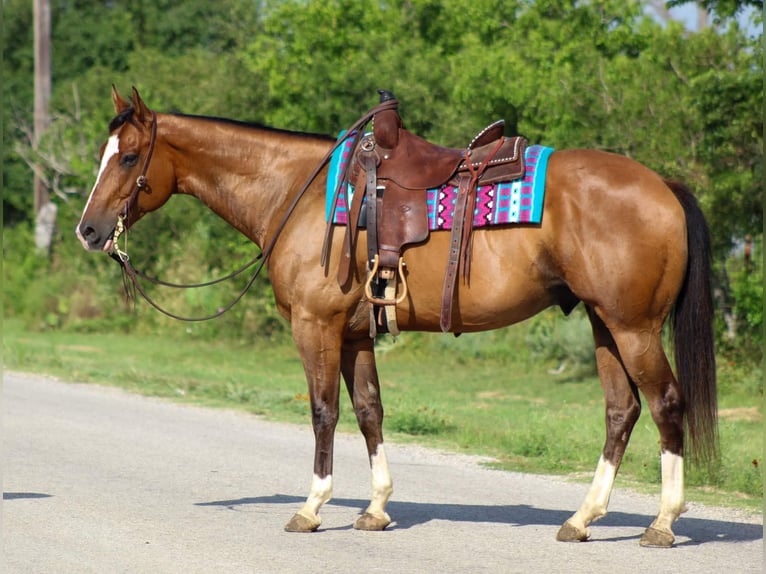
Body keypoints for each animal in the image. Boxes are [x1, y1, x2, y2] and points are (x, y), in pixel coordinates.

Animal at [76, 87, 717, 547]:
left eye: (128, 157)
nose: (89, 230)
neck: (299, 194)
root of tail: (663, 185)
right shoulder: (355, 335)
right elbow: (369, 412)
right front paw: (377, 508)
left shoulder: (315, 327)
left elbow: (324, 413)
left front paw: (312, 507)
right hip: (605, 325)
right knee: (621, 411)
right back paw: (582, 518)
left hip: (633, 328)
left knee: (665, 404)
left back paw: (662, 523)